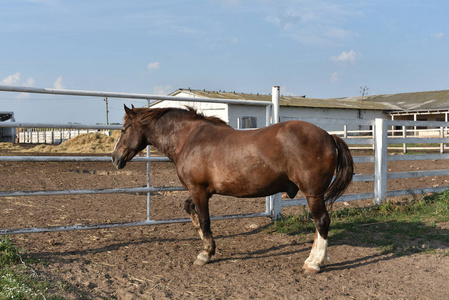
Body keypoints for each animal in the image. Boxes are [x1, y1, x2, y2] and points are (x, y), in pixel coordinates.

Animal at [112, 104, 354, 274]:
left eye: (123, 130)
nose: (114, 158)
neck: (188, 139)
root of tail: (328, 136)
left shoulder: (199, 191)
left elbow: (205, 219)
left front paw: (206, 253)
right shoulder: (199, 191)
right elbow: (190, 210)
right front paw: (204, 240)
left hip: (313, 194)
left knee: (322, 222)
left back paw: (314, 263)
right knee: (318, 225)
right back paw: (312, 258)